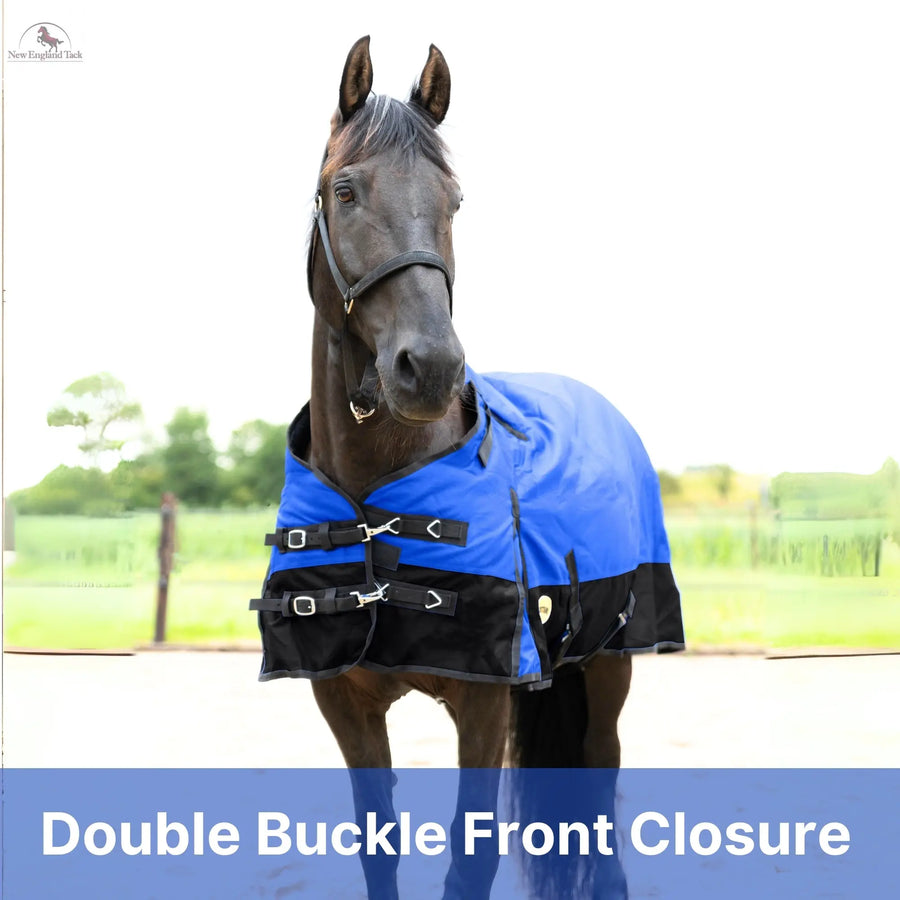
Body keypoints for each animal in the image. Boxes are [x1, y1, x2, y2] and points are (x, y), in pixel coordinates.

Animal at [251, 36, 684, 899]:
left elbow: (469, 857)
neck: (376, 495)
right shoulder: (344, 704)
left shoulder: (484, 706)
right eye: (345, 191)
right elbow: (378, 847)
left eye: (454, 200)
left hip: (609, 672)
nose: (431, 369)